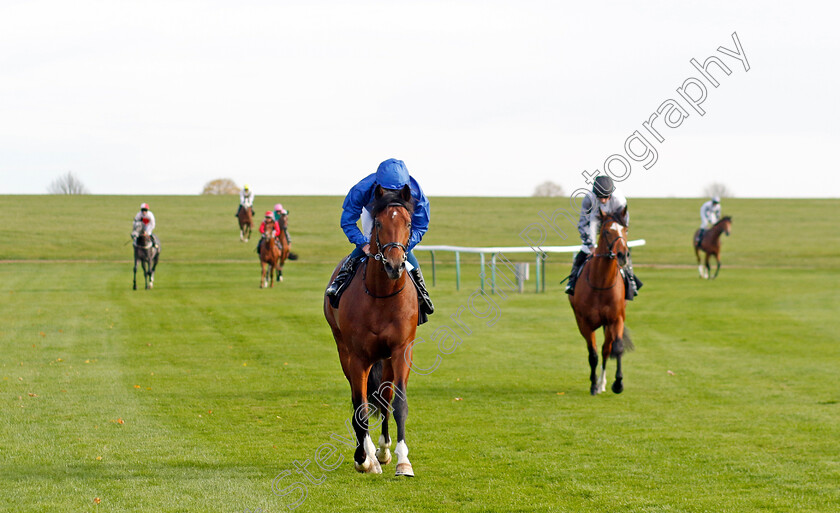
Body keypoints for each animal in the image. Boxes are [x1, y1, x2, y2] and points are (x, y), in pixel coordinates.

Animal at [326, 185, 424, 476]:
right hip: (344, 350)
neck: (382, 295)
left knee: (384, 396)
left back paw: (382, 450)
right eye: (379, 223)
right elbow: (359, 404)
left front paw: (403, 460)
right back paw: (370, 453)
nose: (394, 265)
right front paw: (363, 458)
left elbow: (397, 402)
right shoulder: (358, 356)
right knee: (360, 397)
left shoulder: (401, 350)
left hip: (387, 358)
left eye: (409, 223)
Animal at [568, 208, 632, 396]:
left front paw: (618, 384)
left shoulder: (616, 319)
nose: (623, 255)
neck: (601, 284)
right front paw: (593, 385)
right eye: (607, 231)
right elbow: (593, 355)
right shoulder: (584, 323)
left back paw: (602, 383)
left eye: (625, 229)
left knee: (606, 349)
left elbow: (615, 348)